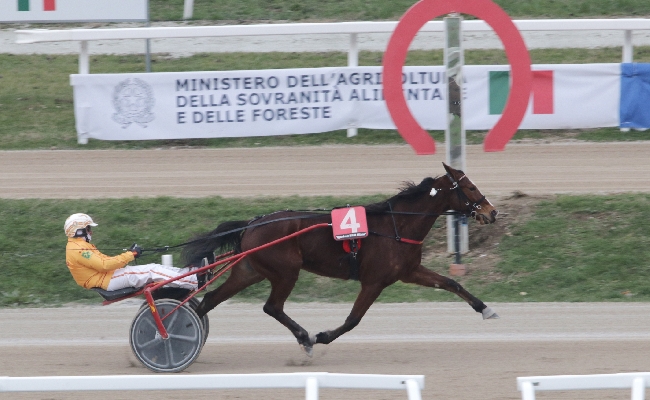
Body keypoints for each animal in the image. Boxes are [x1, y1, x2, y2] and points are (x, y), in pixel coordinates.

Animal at [181, 163, 496, 356]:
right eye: (469, 188)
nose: (491, 212)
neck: (396, 226)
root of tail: (252, 223)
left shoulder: (409, 271)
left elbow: (451, 283)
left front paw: (485, 308)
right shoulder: (374, 281)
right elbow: (353, 319)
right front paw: (321, 337)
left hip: (249, 270)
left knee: (210, 300)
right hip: (286, 272)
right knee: (272, 307)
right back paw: (304, 337)